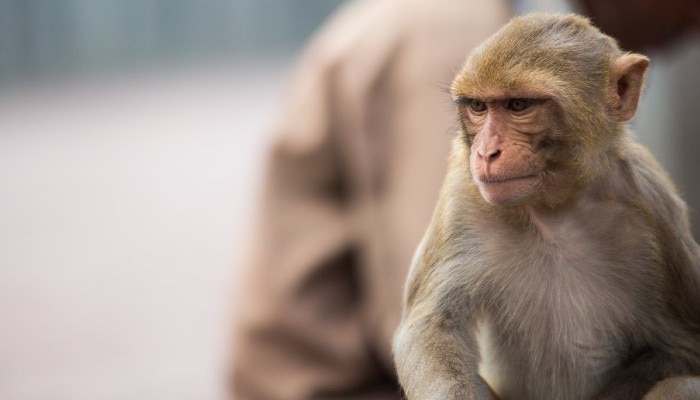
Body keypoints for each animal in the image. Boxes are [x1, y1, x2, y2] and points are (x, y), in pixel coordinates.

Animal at [394, 12, 700, 400]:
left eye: (518, 105)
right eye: (478, 107)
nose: (485, 153)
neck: (554, 209)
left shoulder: (656, 209)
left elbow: (680, 347)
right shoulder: (461, 193)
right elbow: (430, 326)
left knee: (680, 385)